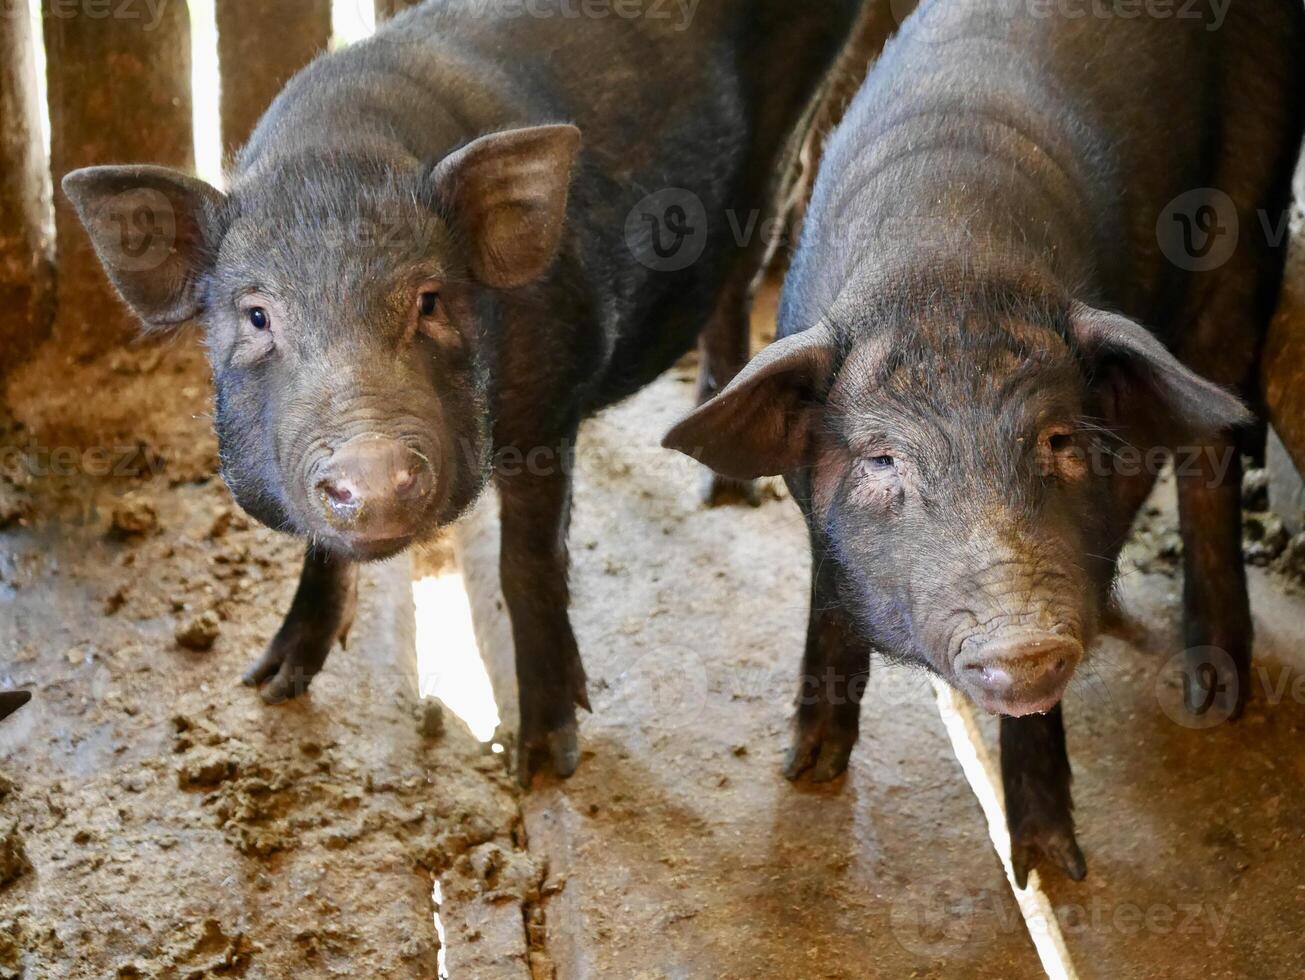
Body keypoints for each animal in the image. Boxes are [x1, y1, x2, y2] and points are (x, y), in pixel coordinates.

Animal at [61, 0, 861, 782]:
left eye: (430, 300)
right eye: (257, 315)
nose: (372, 471)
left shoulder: (549, 405)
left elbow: (528, 564)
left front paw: (545, 764)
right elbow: (320, 551)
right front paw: (269, 684)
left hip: (787, 133)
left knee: (744, 265)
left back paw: (724, 495)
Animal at [668, 0, 1305, 887]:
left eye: (1059, 439)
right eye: (882, 460)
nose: (1027, 641)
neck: (946, 266)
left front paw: (1047, 871)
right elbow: (826, 590)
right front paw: (806, 771)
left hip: (1250, 205)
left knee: (1208, 440)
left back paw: (1209, 696)